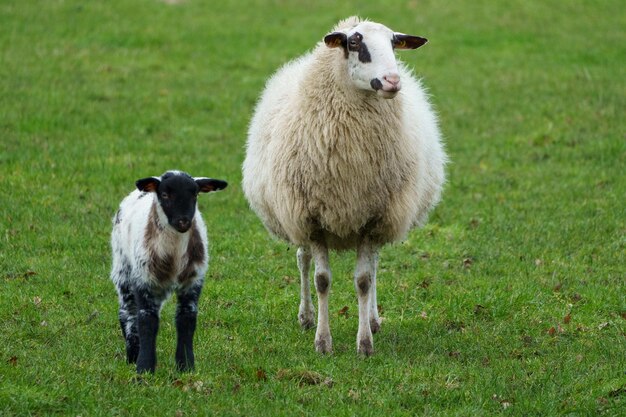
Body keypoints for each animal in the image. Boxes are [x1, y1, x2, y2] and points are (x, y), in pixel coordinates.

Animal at [110, 171, 227, 372]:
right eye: (165, 195)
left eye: (195, 194)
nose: (184, 221)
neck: (174, 255)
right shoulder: (143, 280)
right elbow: (147, 321)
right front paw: (144, 367)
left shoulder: (193, 282)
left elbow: (186, 320)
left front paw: (186, 365)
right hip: (123, 268)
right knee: (128, 311)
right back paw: (132, 354)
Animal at [241, 16, 446, 354]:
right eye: (354, 43)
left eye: (394, 44)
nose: (392, 81)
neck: (351, 163)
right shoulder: (311, 219)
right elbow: (321, 280)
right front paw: (323, 342)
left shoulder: (373, 219)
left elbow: (364, 280)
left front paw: (365, 343)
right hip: (293, 215)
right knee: (302, 260)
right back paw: (306, 316)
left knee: (373, 268)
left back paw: (373, 320)